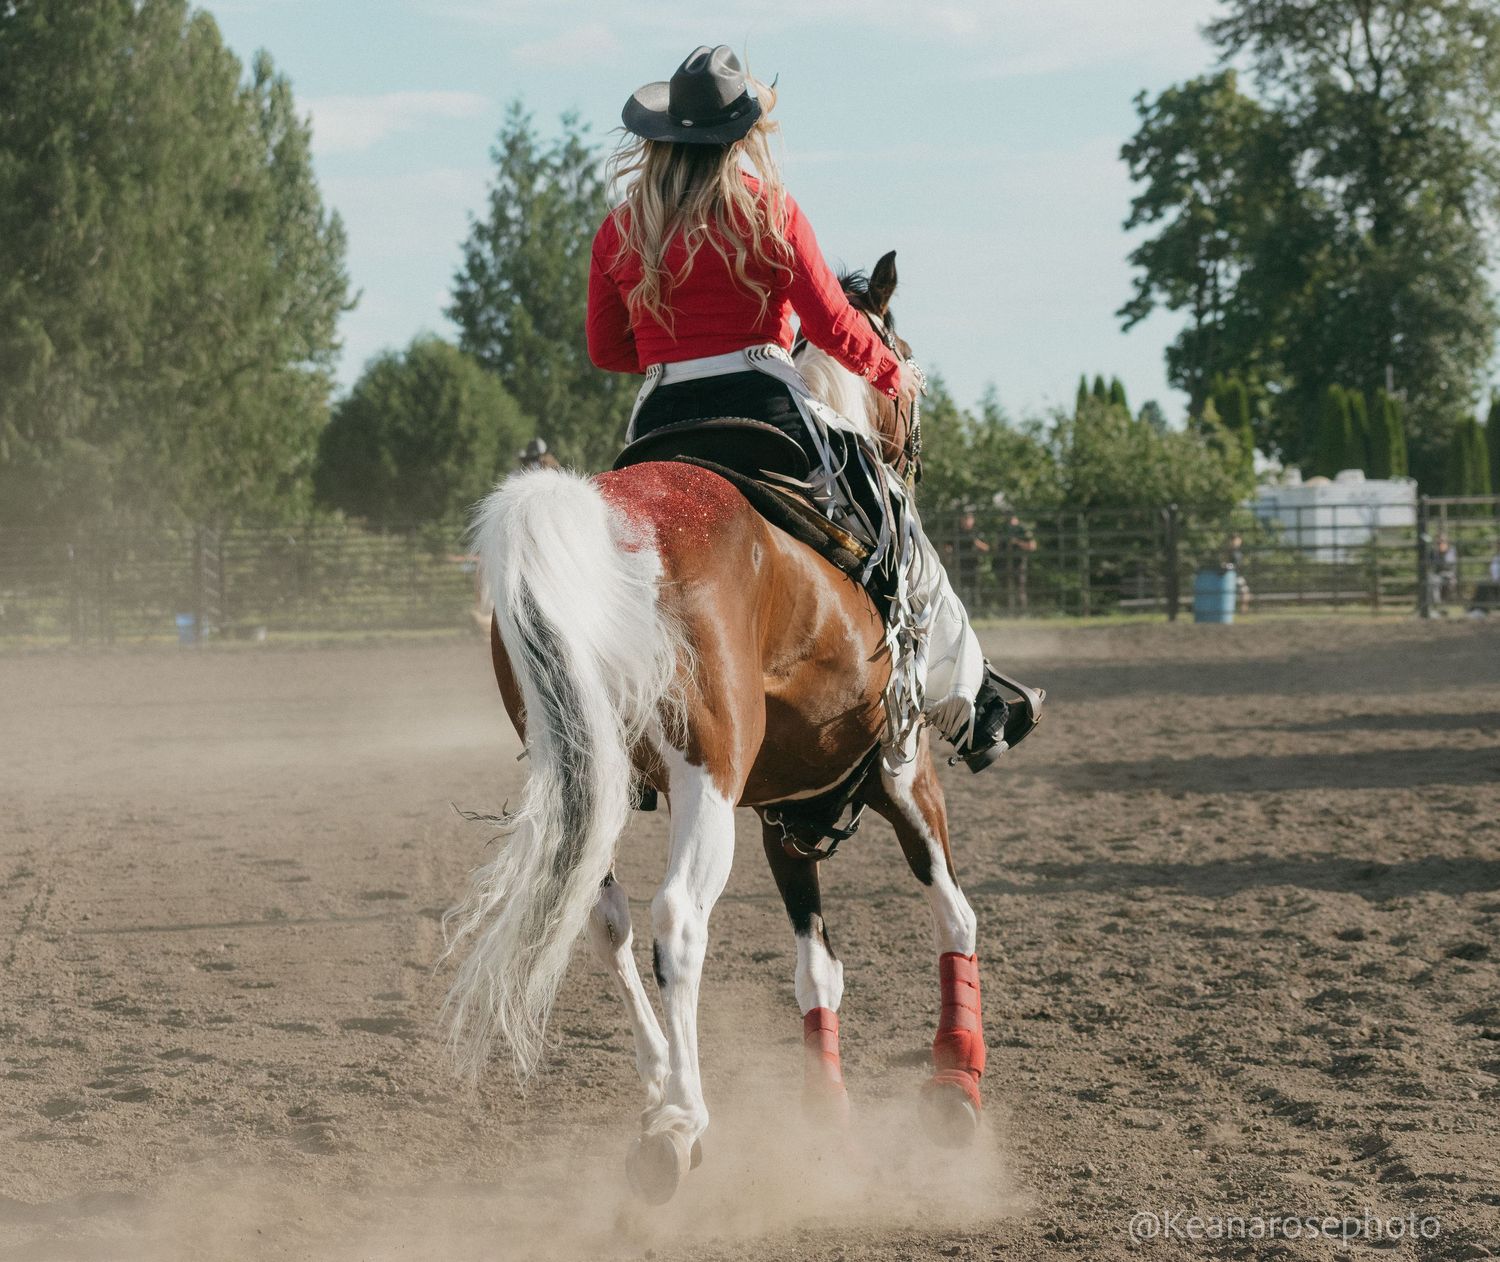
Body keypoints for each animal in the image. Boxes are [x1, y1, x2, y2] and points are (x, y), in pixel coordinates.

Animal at [443, 251, 992, 1205]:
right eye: (903, 362)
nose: (914, 451)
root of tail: (609, 525)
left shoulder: (787, 812)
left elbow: (817, 965)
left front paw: (826, 1114)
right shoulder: (900, 768)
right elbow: (952, 915)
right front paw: (955, 1082)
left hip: (587, 772)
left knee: (603, 918)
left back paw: (661, 1080)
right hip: (709, 772)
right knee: (676, 923)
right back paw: (679, 1120)